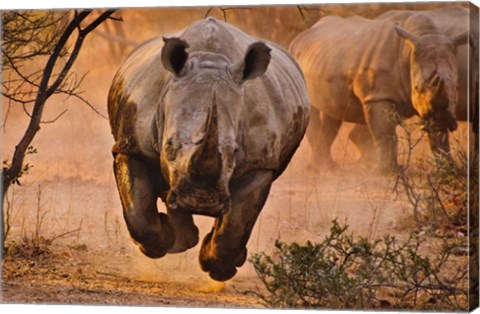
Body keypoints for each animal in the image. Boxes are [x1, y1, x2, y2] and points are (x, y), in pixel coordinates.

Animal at [107, 18, 310, 280]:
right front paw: (160, 242)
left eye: (235, 152)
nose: (200, 201)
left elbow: (236, 223)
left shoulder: (260, 163)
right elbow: (138, 211)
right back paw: (181, 240)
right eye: (169, 145)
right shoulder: (131, 145)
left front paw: (219, 268)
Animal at [288, 6, 468, 172]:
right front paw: (388, 171)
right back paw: (320, 168)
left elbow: (439, 137)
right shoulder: (378, 96)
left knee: (333, 113)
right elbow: (386, 134)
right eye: (417, 87)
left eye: (457, 87)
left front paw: (450, 169)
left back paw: (328, 167)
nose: (444, 120)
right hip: (296, 57)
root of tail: (300, 36)